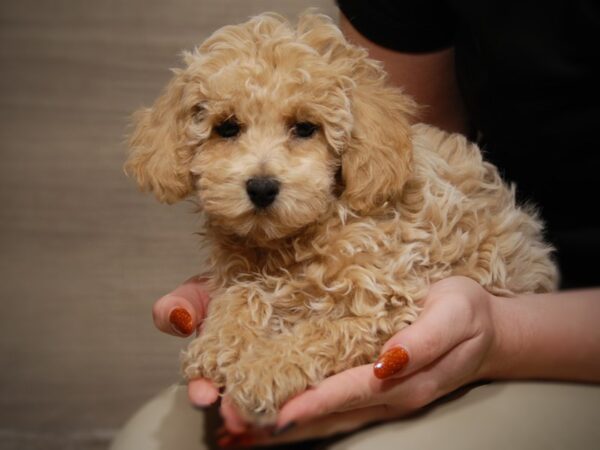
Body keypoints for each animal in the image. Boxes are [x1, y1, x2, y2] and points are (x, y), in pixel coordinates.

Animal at [126, 11, 556, 426]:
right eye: (226, 128)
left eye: (305, 128)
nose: (262, 187)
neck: (293, 238)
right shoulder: (241, 273)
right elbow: (240, 294)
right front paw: (220, 344)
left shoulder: (385, 300)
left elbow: (322, 330)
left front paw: (265, 369)